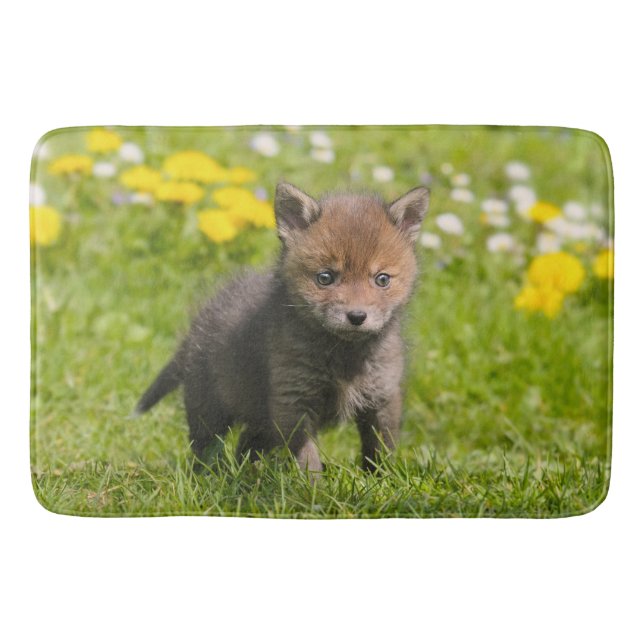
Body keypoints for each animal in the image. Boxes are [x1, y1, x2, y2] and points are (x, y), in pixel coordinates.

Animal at [135, 182, 430, 473]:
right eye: (325, 277)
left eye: (382, 279)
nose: (357, 316)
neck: (344, 357)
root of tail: (197, 324)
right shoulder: (293, 401)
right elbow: (308, 458)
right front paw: (314, 487)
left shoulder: (382, 397)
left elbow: (380, 450)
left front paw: (380, 480)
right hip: (210, 410)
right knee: (205, 449)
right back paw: (209, 477)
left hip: (260, 419)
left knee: (245, 445)